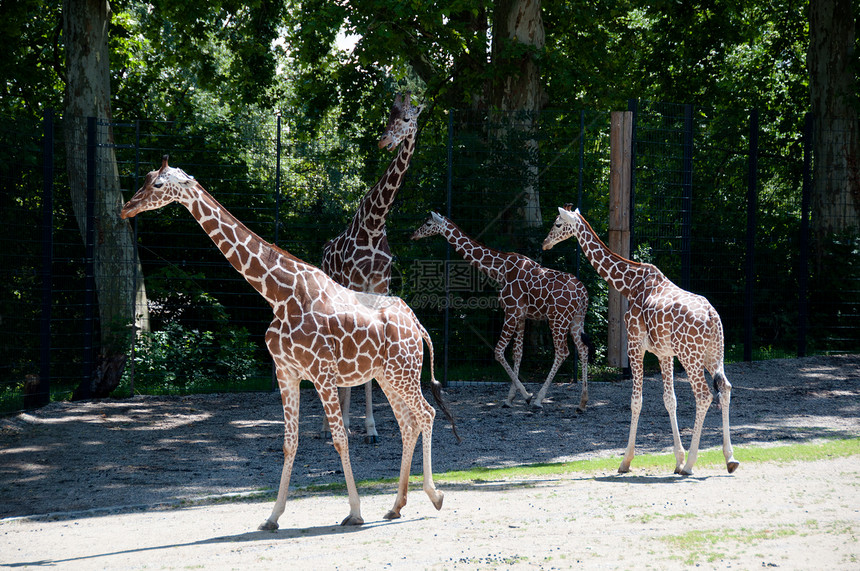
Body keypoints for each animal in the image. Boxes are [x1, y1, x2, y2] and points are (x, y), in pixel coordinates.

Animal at [120, 158, 456, 532]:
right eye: (147, 178)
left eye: (158, 185)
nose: (126, 207)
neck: (278, 295)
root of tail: (417, 324)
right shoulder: (286, 373)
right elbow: (289, 443)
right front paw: (272, 516)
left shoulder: (322, 373)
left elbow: (340, 438)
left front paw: (354, 512)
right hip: (388, 376)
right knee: (408, 424)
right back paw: (396, 506)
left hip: (403, 373)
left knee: (426, 414)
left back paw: (435, 495)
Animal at [322, 91, 424, 444]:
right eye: (388, 115)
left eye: (407, 118)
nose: (384, 141)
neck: (374, 223)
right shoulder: (355, 287)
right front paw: (347, 424)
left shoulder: (378, 290)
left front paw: (371, 429)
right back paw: (330, 423)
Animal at [410, 212, 592, 408]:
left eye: (428, 224)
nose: (413, 235)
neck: (499, 269)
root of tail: (583, 293)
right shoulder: (521, 315)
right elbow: (517, 353)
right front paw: (511, 398)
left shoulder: (511, 311)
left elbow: (498, 351)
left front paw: (527, 395)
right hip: (576, 319)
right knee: (583, 348)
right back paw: (582, 402)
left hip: (557, 319)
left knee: (562, 352)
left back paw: (539, 399)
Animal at [544, 203, 740, 476]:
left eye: (558, 223)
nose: (545, 243)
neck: (629, 284)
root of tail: (713, 316)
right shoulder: (664, 353)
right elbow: (670, 401)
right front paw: (677, 459)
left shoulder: (635, 345)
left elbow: (636, 401)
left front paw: (626, 461)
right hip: (713, 354)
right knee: (725, 388)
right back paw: (729, 459)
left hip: (690, 356)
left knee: (703, 395)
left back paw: (692, 464)